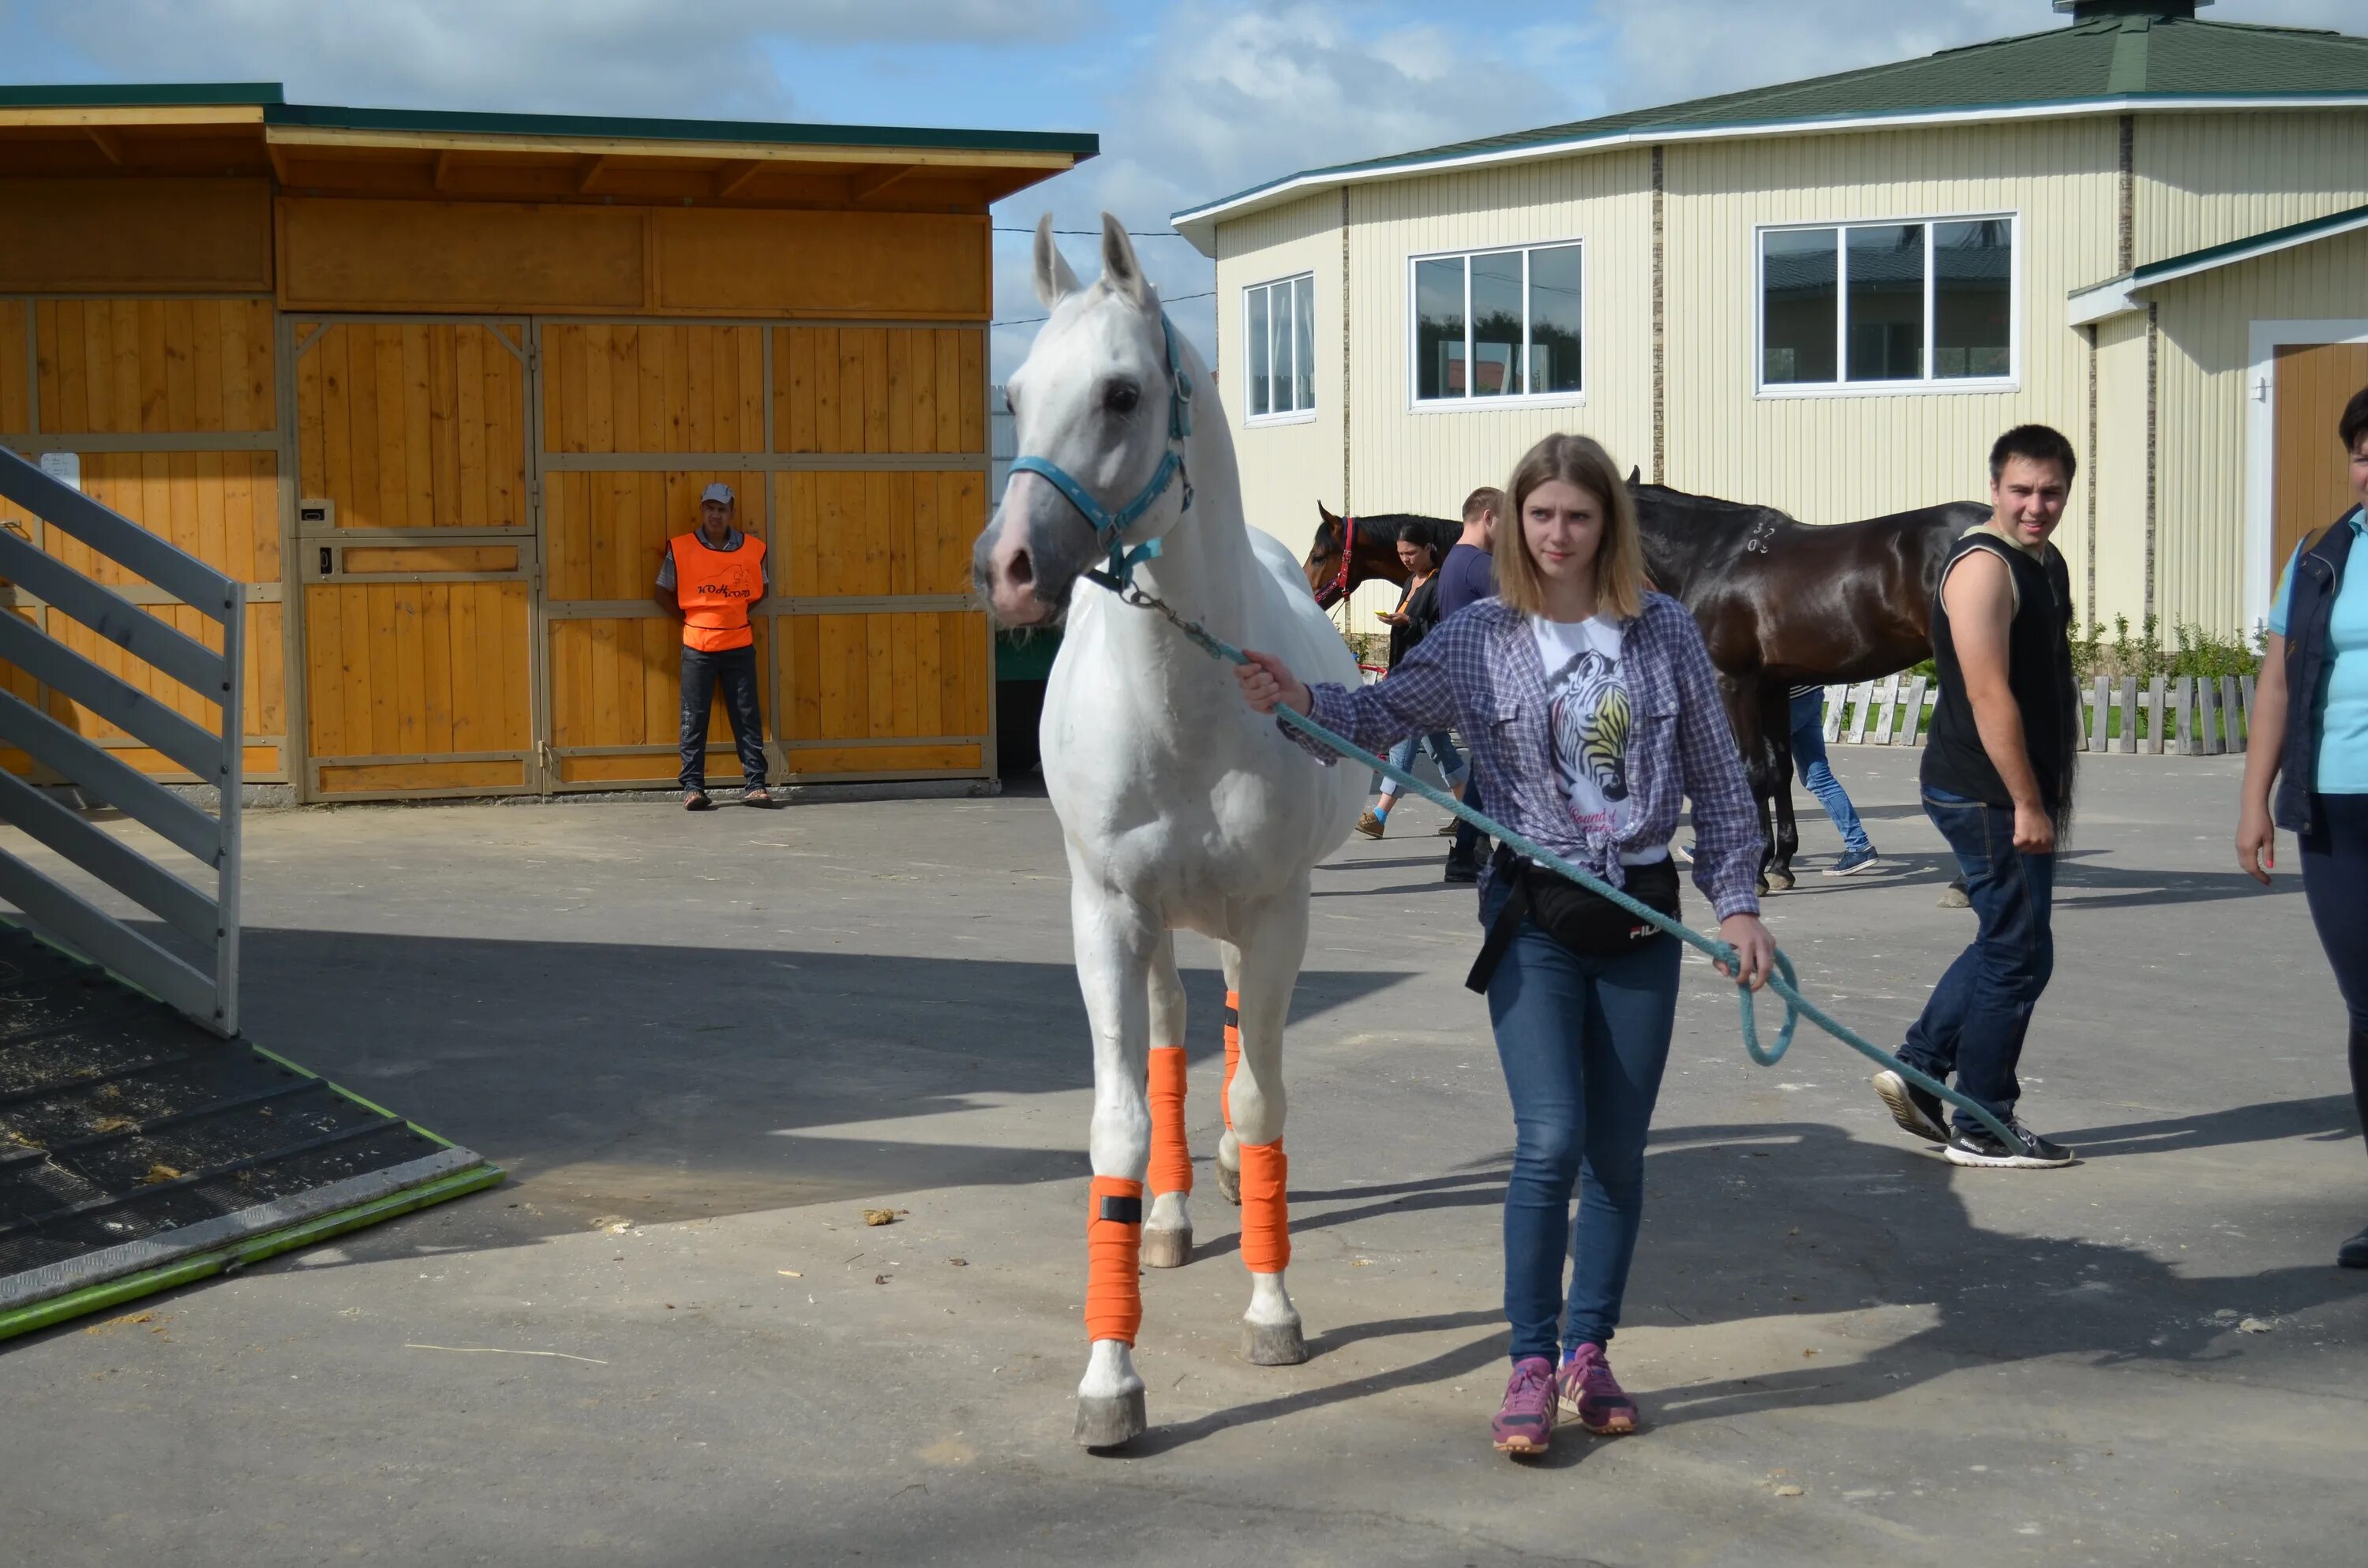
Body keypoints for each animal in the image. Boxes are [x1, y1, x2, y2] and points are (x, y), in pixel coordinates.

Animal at [971, 211, 1364, 1449]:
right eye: (1016, 390)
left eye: (1122, 392)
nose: (1004, 571)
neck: (1187, 706)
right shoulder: (1107, 916)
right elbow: (1122, 1122)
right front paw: (1109, 1375)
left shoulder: (1277, 912)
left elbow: (1259, 1096)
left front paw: (1274, 1307)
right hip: (1154, 926)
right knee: (1173, 1034)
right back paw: (1176, 1215)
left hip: (1245, 919)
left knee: (1236, 1034)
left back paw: (1232, 1181)